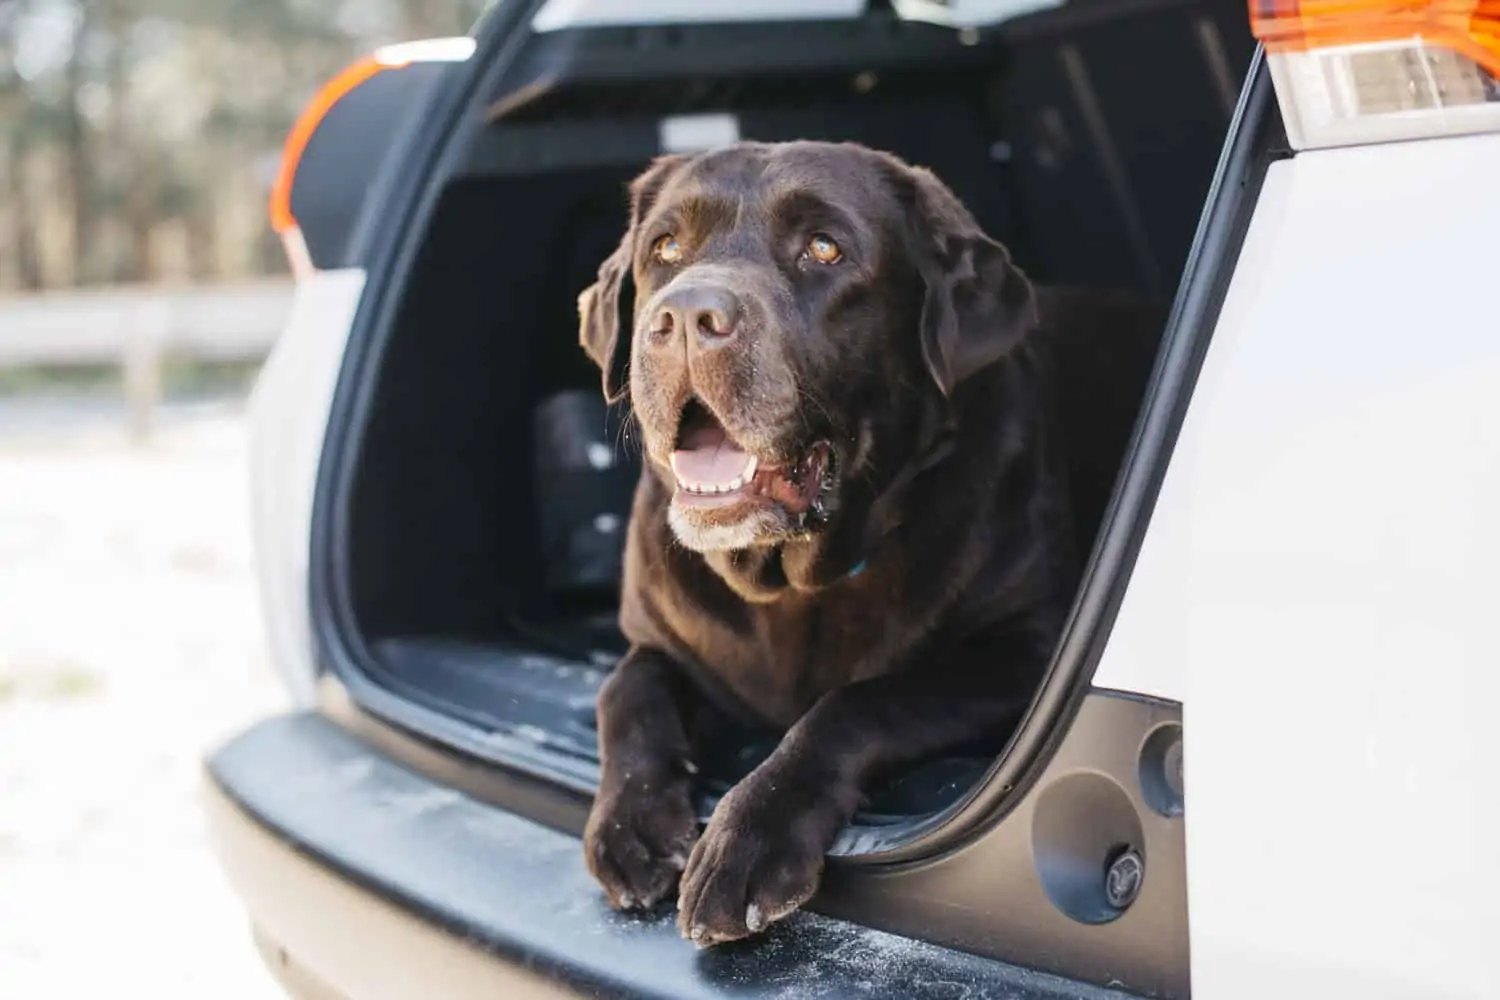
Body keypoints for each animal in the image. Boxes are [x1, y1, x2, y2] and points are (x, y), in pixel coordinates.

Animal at [570, 138, 1158, 947]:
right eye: (664, 248)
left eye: (825, 249)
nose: (686, 316)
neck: (785, 579)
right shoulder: (659, 639)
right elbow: (624, 690)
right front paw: (630, 825)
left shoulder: (1025, 652)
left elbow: (857, 702)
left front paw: (748, 840)